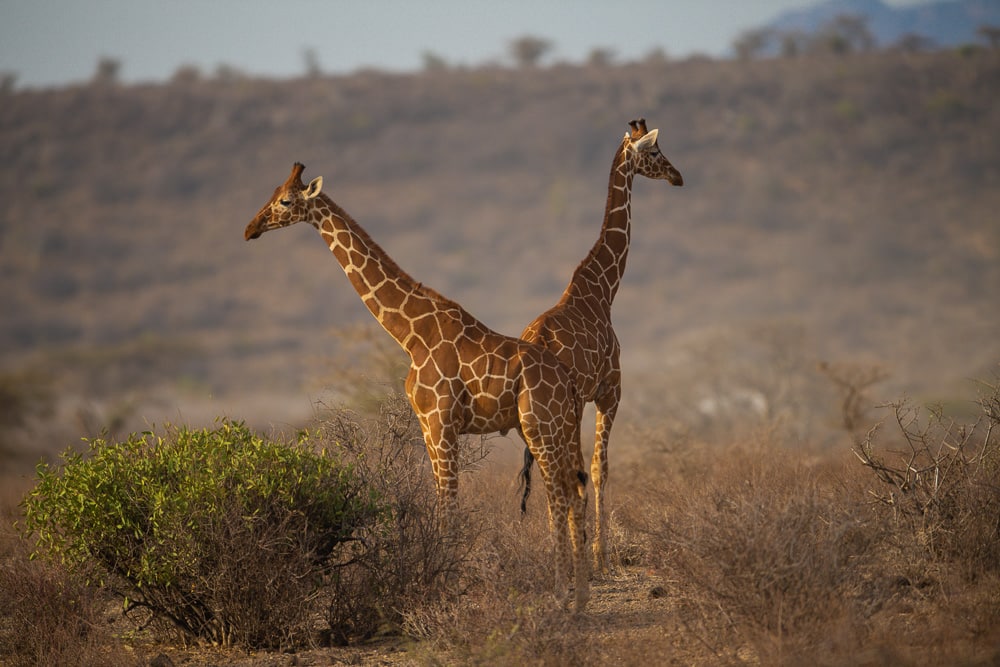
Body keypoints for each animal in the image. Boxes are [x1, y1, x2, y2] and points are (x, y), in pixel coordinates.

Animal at [244, 163, 590, 611]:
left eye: (286, 201)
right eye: (272, 193)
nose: (250, 229)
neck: (409, 334)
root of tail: (568, 382)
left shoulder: (442, 422)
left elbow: (449, 509)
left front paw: (444, 587)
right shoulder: (427, 426)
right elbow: (442, 503)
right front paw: (439, 581)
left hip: (539, 427)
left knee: (559, 497)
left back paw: (561, 593)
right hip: (563, 428)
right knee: (575, 493)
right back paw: (580, 598)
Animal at [519, 118, 683, 573]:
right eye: (656, 152)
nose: (678, 176)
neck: (603, 289)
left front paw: (587, 550)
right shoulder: (610, 390)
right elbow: (598, 468)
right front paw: (600, 555)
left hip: (537, 422)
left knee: (551, 476)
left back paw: (559, 557)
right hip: (566, 410)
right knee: (567, 473)